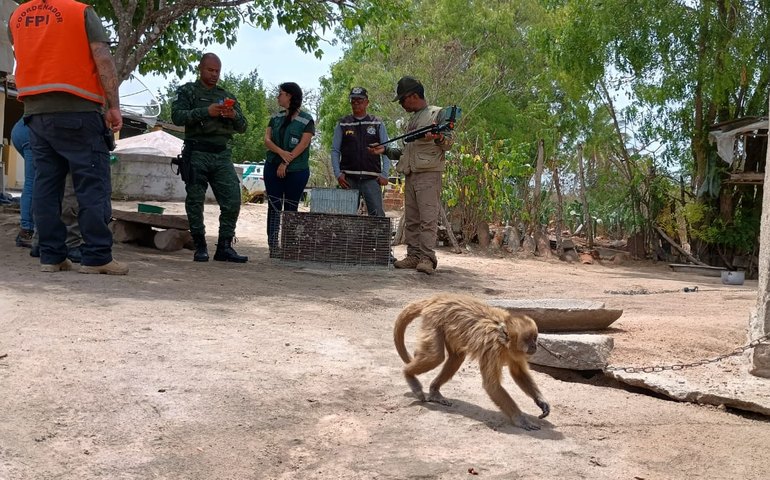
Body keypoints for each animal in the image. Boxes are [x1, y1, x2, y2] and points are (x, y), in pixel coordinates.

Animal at [393, 293, 550, 431]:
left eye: (535, 338)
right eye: (528, 340)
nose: (535, 346)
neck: (504, 341)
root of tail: (439, 299)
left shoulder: (514, 353)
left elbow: (518, 373)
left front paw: (541, 401)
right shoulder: (493, 350)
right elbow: (491, 386)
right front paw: (520, 419)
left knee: (456, 357)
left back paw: (435, 391)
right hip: (434, 320)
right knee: (435, 357)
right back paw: (408, 374)